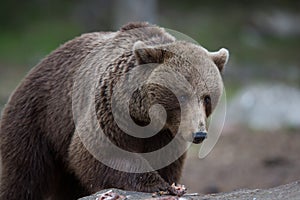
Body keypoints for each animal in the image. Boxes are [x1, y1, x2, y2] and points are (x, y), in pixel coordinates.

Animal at [0, 22, 227, 200]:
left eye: (207, 97)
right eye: (181, 95)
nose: (199, 134)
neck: (147, 119)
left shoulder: (165, 134)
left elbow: (165, 162)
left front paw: (169, 184)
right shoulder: (111, 109)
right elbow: (103, 150)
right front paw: (156, 184)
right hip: (40, 117)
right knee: (24, 174)